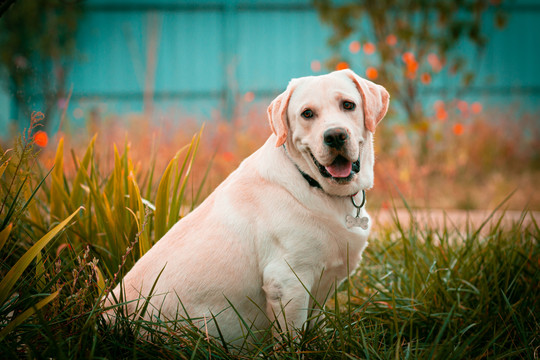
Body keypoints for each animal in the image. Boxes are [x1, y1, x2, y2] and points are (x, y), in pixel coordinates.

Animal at [103, 68, 388, 344]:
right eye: (307, 113)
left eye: (348, 105)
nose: (335, 136)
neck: (313, 183)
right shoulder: (287, 281)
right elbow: (292, 341)